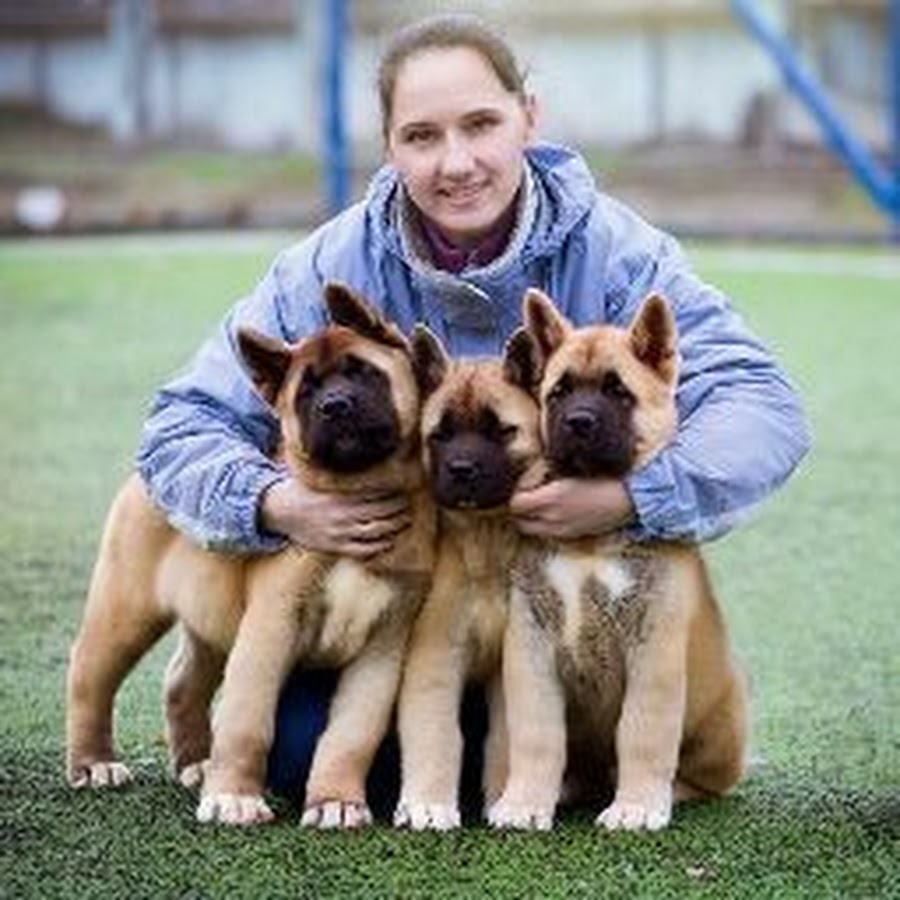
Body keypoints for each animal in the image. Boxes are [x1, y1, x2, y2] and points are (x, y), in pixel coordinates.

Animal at [65, 284, 434, 828]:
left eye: (364, 371)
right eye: (305, 392)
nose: (335, 406)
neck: (361, 485)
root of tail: (143, 476)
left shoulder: (382, 648)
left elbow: (352, 734)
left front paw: (336, 801)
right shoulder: (270, 628)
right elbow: (246, 720)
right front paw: (234, 797)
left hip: (211, 618)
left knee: (183, 681)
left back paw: (195, 763)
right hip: (126, 609)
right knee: (90, 673)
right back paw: (94, 764)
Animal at [392, 326, 540, 832]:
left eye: (502, 431)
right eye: (440, 435)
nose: (461, 471)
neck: (486, 538)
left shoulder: (511, 660)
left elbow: (507, 739)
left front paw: (506, 801)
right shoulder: (436, 656)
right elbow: (437, 734)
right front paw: (428, 803)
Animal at [488, 292, 748, 832]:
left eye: (618, 392)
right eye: (558, 393)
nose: (578, 423)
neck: (589, 543)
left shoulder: (654, 650)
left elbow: (643, 733)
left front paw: (636, 806)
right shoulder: (529, 645)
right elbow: (537, 733)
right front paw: (525, 802)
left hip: (722, 727)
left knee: (710, 778)